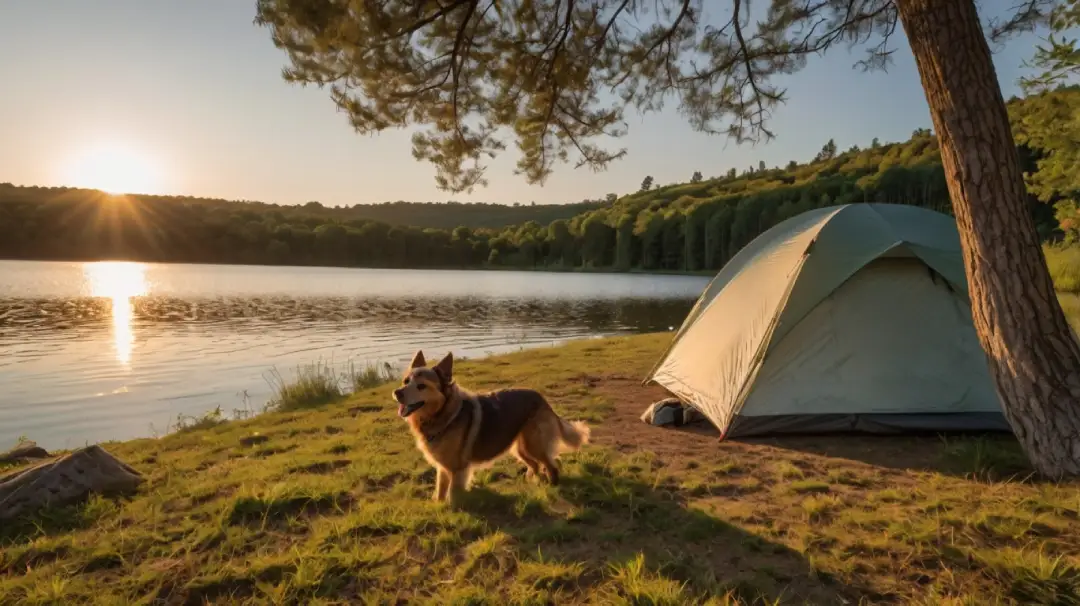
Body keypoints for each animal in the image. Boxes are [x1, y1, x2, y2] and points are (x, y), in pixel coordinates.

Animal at [393, 347, 591, 503]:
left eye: (421, 386)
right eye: (406, 381)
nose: (397, 393)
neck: (444, 414)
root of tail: (542, 399)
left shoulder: (458, 469)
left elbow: (452, 495)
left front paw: (452, 509)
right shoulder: (443, 468)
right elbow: (440, 491)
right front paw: (438, 506)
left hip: (534, 445)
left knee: (551, 465)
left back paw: (553, 485)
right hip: (520, 448)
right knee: (535, 465)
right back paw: (533, 481)